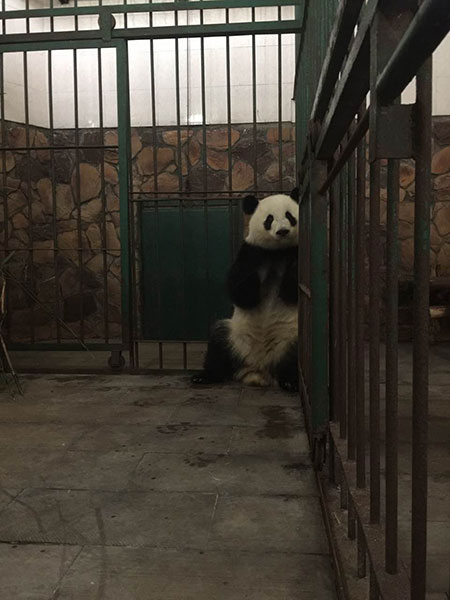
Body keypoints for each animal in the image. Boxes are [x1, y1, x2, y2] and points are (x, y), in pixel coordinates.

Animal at [191, 189, 298, 394]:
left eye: (290, 216)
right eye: (269, 219)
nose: (282, 231)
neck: (277, 253)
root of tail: (258, 370)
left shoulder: (294, 252)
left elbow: (290, 291)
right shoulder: (249, 252)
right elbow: (242, 293)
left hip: (290, 337)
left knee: (295, 357)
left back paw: (290, 381)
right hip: (235, 336)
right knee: (218, 343)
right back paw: (204, 377)